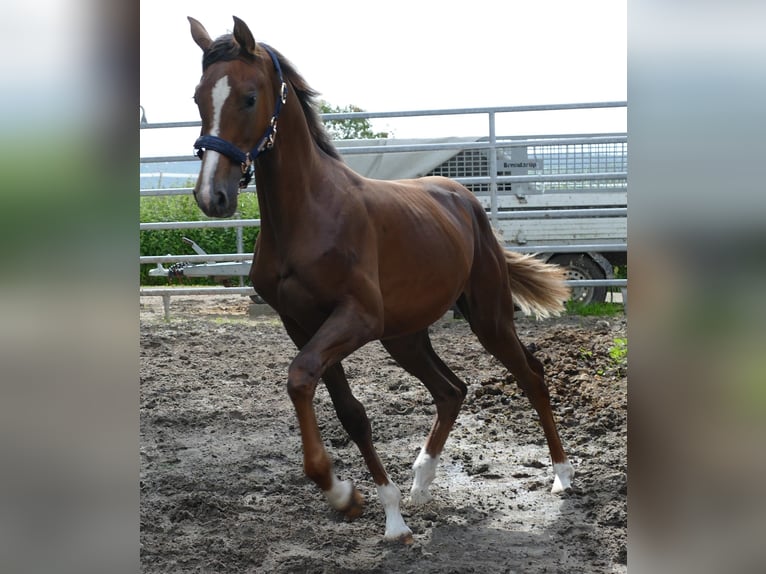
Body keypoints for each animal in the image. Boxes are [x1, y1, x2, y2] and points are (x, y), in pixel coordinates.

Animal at [186, 14, 576, 544]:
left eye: (248, 97)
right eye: (197, 98)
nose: (213, 196)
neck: (308, 215)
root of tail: (463, 198)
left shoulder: (357, 318)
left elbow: (301, 378)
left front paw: (351, 497)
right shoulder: (302, 324)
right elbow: (344, 408)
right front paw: (370, 505)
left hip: (487, 316)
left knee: (530, 377)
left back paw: (561, 476)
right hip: (404, 336)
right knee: (451, 390)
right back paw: (421, 483)